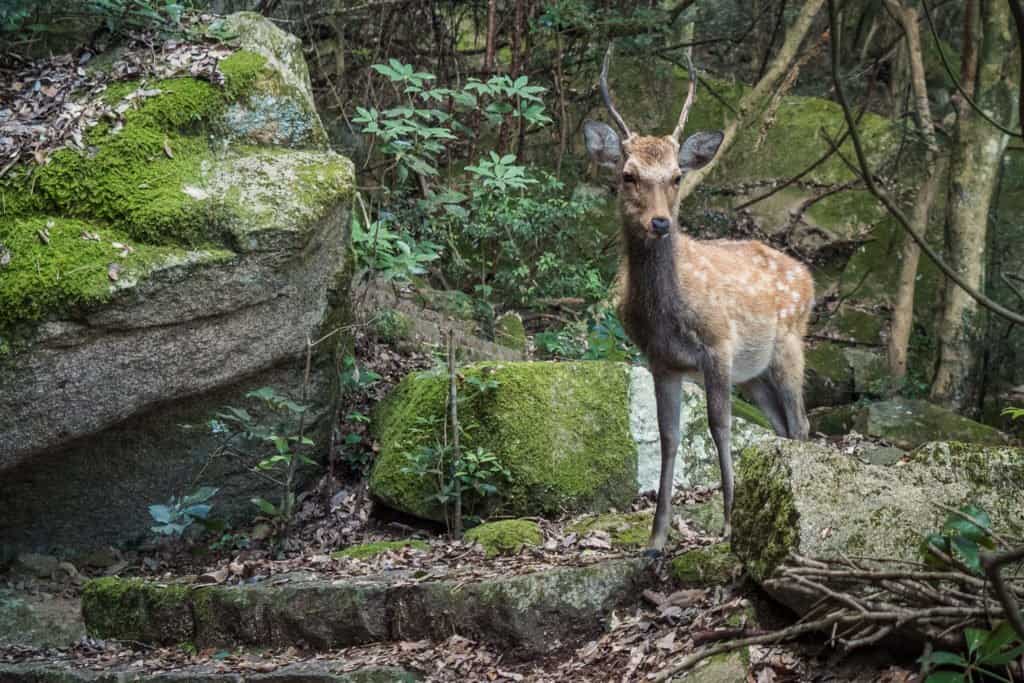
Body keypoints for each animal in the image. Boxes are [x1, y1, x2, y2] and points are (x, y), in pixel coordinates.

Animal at [585, 48, 815, 552]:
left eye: (676, 176)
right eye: (628, 175)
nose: (659, 222)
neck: (667, 313)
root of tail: (808, 277)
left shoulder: (718, 345)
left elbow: (719, 426)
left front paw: (728, 524)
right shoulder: (661, 360)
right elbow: (669, 438)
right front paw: (656, 539)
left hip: (789, 344)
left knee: (802, 424)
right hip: (756, 374)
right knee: (782, 427)